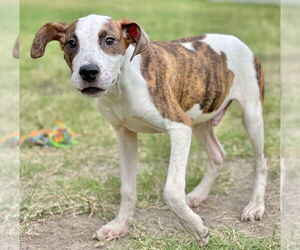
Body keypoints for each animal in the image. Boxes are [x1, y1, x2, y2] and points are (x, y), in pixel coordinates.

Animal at [30, 14, 266, 246]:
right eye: (72, 43)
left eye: (109, 40)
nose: (88, 72)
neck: (120, 87)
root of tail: (235, 39)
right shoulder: (125, 134)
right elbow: (127, 188)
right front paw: (119, 226)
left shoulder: (179, 126)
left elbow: (172, 190)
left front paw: (196, 229)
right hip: (199, 119)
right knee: (218, 154)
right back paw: (198, 195)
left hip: (251, 115)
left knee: (260, 162)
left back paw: (255, 206)